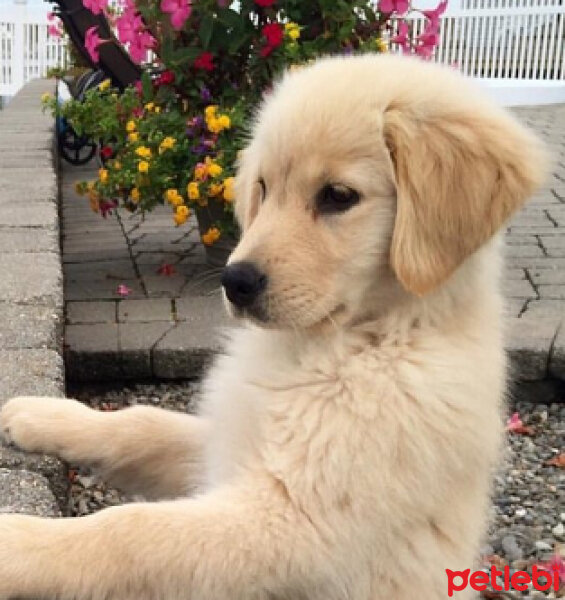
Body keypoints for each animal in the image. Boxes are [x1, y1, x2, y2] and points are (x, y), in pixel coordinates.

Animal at [1, 54, 548, 596]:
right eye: (262, 189)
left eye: (338, 196)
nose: (234, 281)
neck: (352, 341)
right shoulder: (225, 447)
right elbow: (142, 423)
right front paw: (41, 415)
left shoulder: (295, 522)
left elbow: (129, 528)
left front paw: (18, 542)